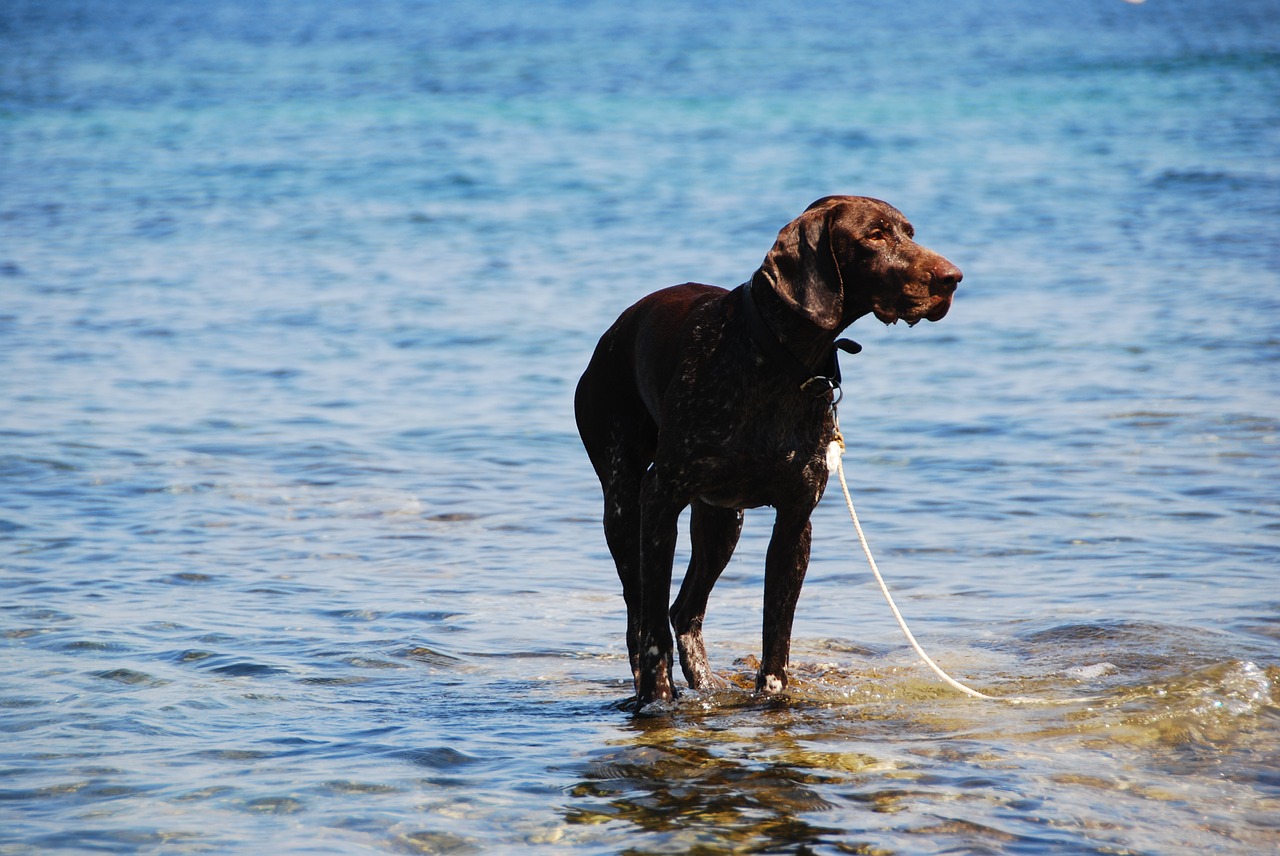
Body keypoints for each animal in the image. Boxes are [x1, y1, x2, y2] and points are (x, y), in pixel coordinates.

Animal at [573, 195, 962, 706]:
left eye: (910, 233)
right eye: (875, 235)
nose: (953, 278)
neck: (782, 364)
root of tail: (611, 333)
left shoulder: (796, 521)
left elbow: (777, 636)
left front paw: (773, 701)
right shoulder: (659, 500)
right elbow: (652, 629)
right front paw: (657, 700)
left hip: (722, 520)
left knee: (685, 611)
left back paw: (707, 684)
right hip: (623, 507)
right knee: (640, 616)